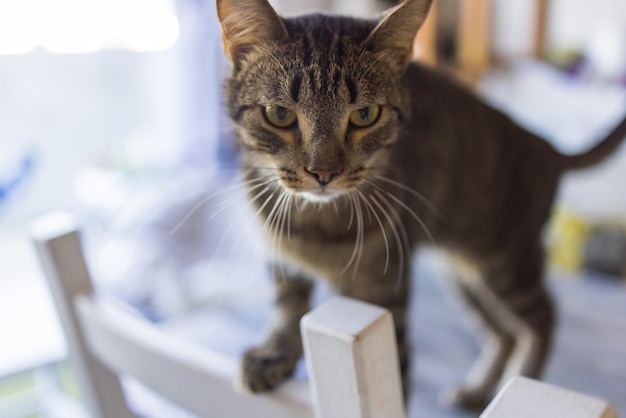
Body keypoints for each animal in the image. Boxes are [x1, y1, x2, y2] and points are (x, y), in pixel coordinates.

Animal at [217, 0, 624, 408]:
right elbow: (288, 306)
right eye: (279, 114)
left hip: (505, 266)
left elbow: (395, 369)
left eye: (365, 115)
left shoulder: (384, 291)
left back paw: (523, 385)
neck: (317, 225)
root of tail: (551, 149)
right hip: (465, 274)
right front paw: (274, 354)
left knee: (542, 319)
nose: (324, 173)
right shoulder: (282, 258)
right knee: (504, 331)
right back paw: (479, 391)